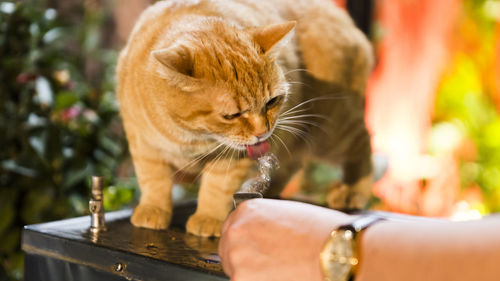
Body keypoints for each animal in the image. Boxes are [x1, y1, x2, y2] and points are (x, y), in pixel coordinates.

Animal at [117, 0, 374, 236]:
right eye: (231, 115)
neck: (192, 137)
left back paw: (352, 191)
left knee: (362, 143)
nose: (262, 132)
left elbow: (216, 188)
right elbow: (153, 179)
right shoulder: (143, 142)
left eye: (272, 101)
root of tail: (339, 14)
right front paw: (153, 208)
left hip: (330, 131)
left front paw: (208, 218)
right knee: (293, 161)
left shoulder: (233, 158)